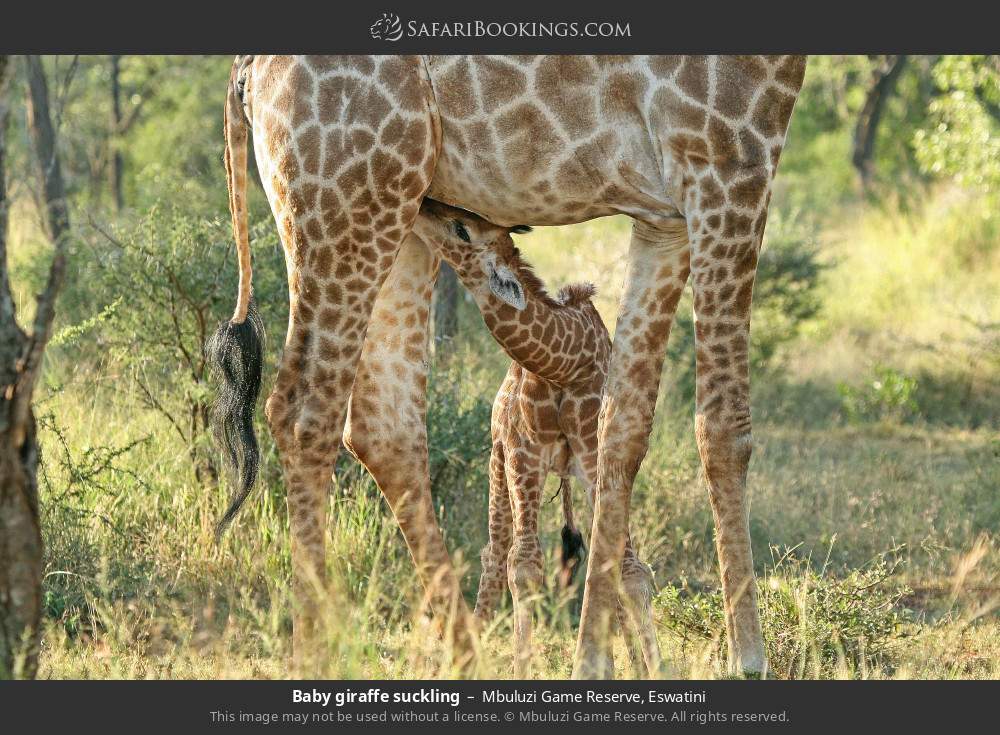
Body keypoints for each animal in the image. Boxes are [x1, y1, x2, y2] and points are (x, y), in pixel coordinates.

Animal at [411, 199, 661, 677]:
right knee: (494, 555)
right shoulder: (522, 456)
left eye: (462, 228)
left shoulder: (599, 462)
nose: (422, 206)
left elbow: (627, 568)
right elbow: (524, 567)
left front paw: (650, 667)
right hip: (497, 464)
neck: (564, 366)